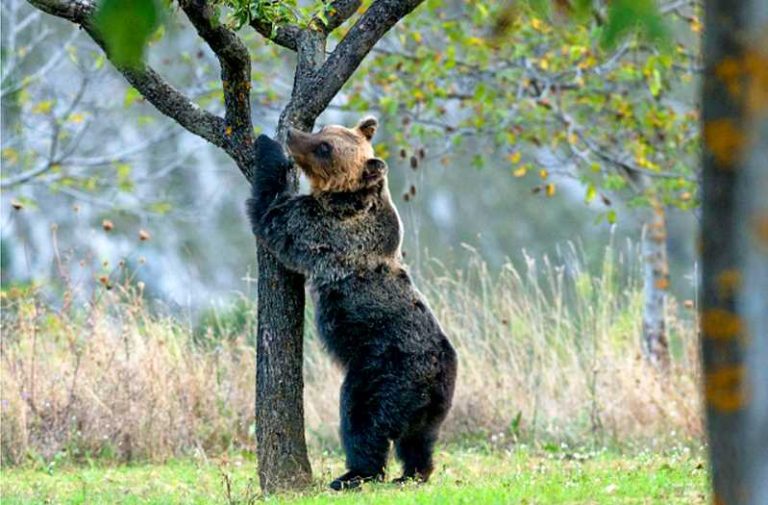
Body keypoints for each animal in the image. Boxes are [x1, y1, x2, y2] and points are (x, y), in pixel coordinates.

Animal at [249, 117, 456, 488]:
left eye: (324, 147)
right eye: (323, 129)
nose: (293, 134)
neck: (346, 199)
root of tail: (436, 377)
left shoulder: (325, 229)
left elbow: (274, 215)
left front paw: (266, 147)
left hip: (383, 373)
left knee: (363, 422)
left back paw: (353, 474)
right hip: (433, 404)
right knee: (419, 440)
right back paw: (412, 474)